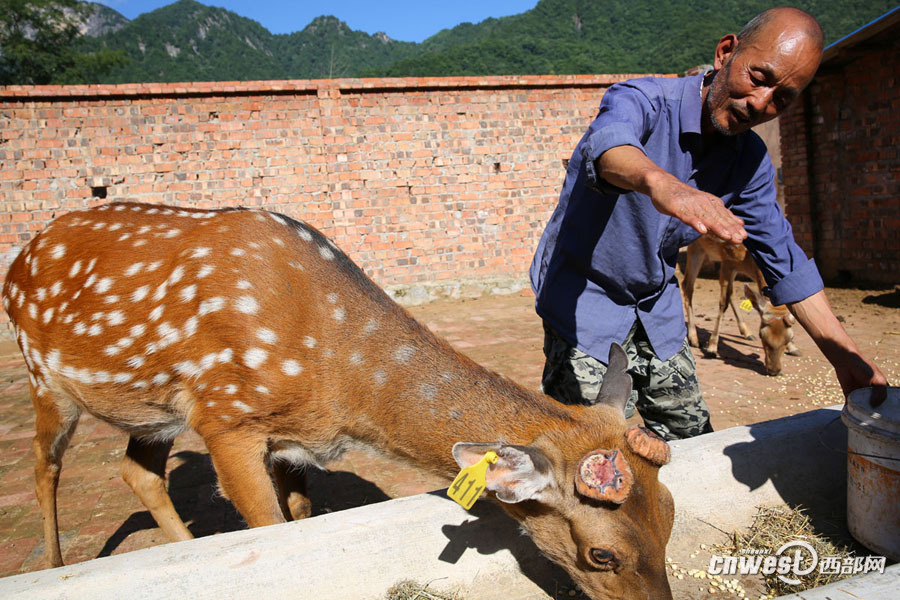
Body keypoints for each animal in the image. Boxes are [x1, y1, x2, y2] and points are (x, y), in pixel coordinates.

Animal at [1, 203, 676, 600]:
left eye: (670, 515)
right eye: (603, 553)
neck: (338, 382)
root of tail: (20, 257)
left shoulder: (294, 441)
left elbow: (303, 517)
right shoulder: (226, 417)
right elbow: (269, 526)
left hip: (152, 410)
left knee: (135, 471)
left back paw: (188, 547)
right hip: (42, 375)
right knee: (43, 464)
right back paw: (51, 564)